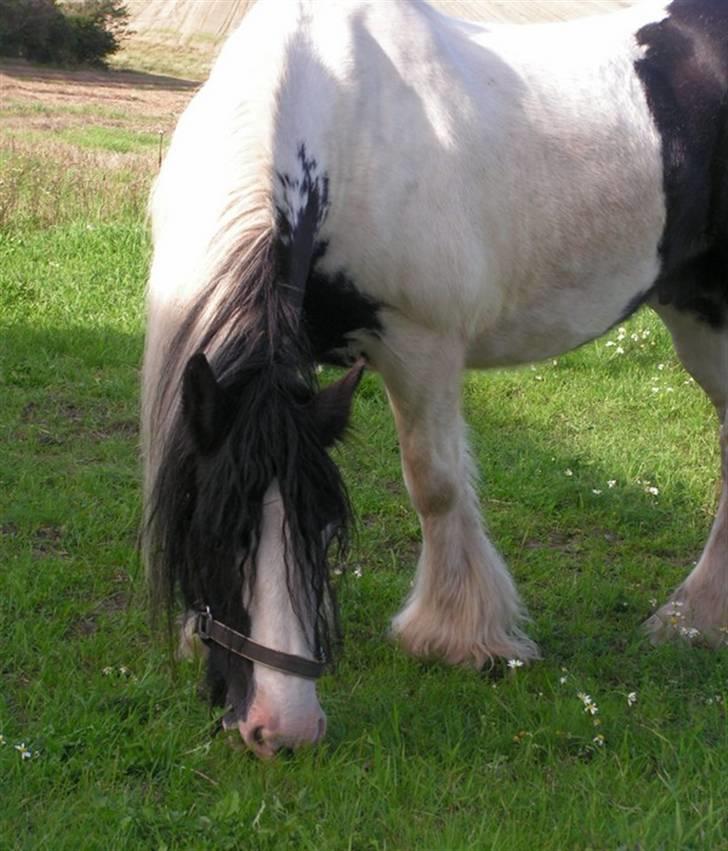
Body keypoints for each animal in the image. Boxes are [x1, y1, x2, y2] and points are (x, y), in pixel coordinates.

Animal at [141, 0, 728, 760]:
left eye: (326, 530)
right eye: (213, 532)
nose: (284, 729)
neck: (339, 125)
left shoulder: (418, 346)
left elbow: (436, 486)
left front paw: (455, 637)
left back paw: (692, 617)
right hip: (696, 312)